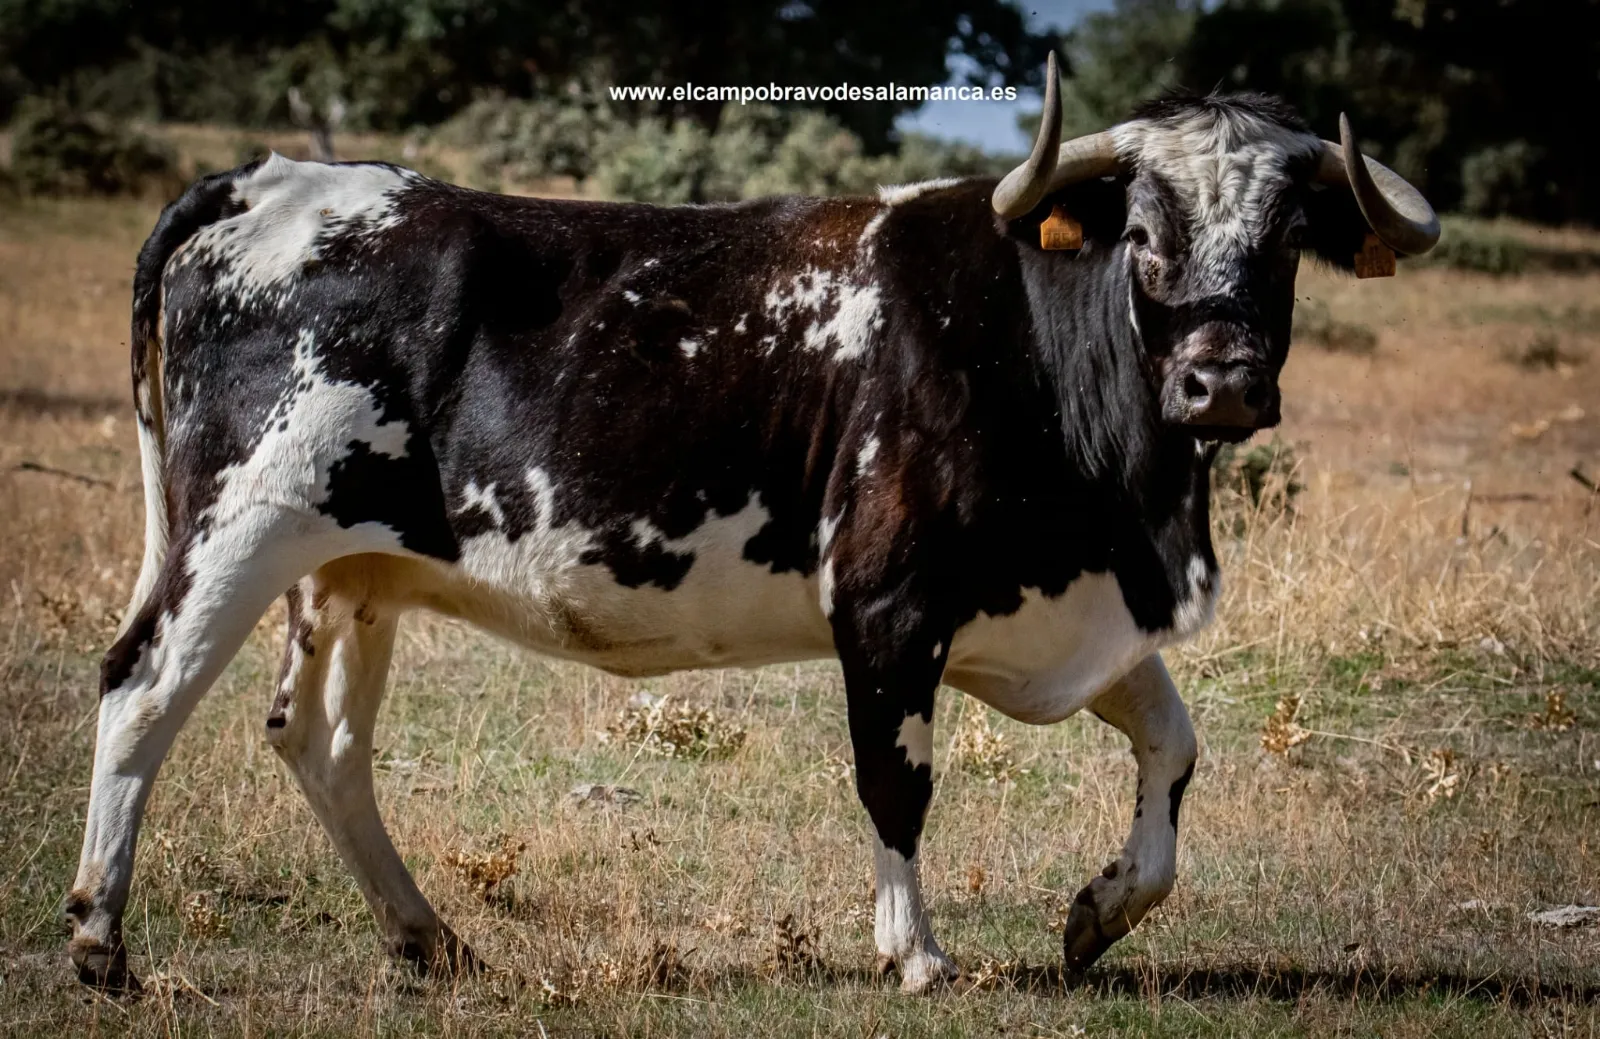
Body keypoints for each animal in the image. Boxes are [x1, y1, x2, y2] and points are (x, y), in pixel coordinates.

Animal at [64, 56, 1439, 994]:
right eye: (1145, 234)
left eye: (1287, 242)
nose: (1222, 383)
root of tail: (277, 177)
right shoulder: (885, 601)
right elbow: (895, 781)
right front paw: (915, 955)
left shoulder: (1058, 602)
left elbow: (1173, 745)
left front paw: (1097, 911)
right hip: (238, 525)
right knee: (141, 685)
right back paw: (99, 937)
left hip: (353, 569)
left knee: (322, 742)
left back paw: (425, 935)